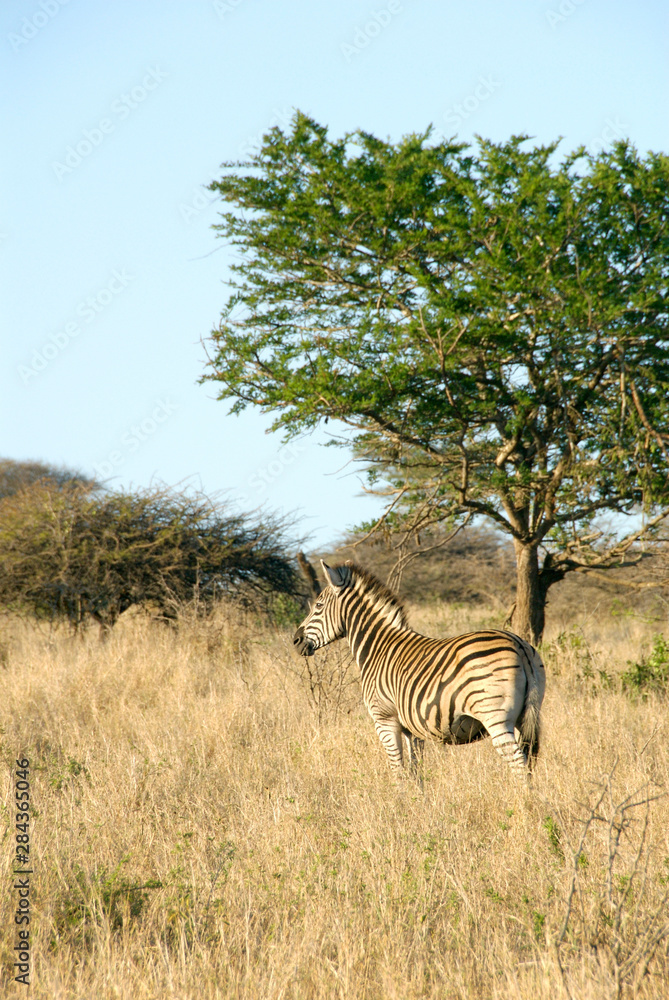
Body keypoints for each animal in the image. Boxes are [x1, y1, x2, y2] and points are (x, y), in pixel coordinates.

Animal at [293, 560, 545, 777]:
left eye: (318, 606)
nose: (295, 640)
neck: (378, 647)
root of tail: (519, 644)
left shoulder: (384, 719)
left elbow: (397, 770)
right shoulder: (411, 729)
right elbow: (416, 771)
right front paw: (418, 802)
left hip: (495, 717)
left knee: (518, 762)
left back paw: (523, 802)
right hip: (526, 715)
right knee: (529, 760)